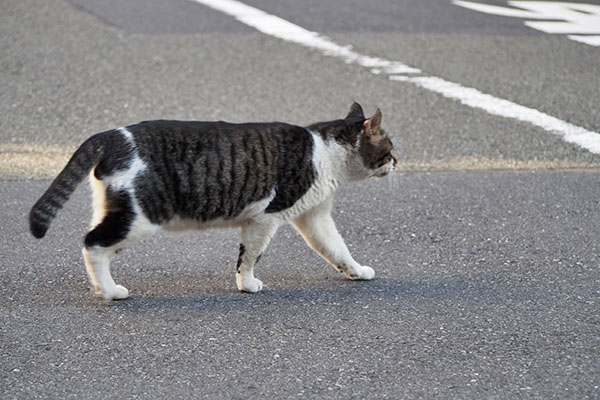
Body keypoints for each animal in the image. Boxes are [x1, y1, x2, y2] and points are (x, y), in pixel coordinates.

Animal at [28, 103, 396, 300]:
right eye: (390, 147)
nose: (397, 162)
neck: (325, 152)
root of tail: (112, 135)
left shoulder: (314, 217)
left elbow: (336, 248)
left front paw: (356, 271)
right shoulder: (266, 217)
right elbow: (250, 256)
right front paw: (247, 284)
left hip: (115, 208)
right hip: (141, 217)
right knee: (93, 244)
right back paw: (108, 291)